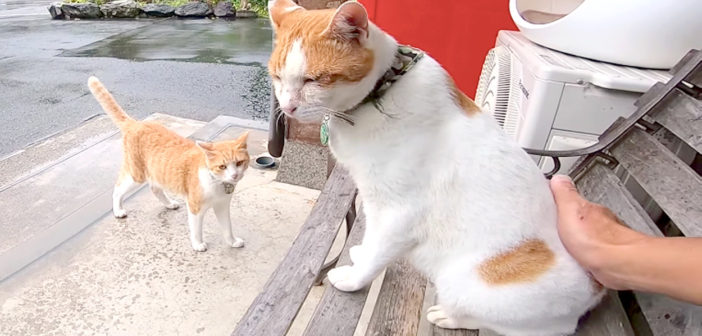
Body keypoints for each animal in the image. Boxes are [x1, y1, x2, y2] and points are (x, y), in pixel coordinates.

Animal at [89, 77, 250, 252]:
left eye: (239, 162)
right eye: (222, 166)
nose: (234, 175)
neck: (216, 182)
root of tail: (136, 123)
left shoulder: (222, 206)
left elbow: (227, 227)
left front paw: (232, 241)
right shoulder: (195, 207)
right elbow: (196, 229)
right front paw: (198, 244)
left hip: (157, 171)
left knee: (155, 188)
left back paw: (169, 204)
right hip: (136, 175)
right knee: (118, 188)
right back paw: (118, 210)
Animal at [268, 1, 604, 334]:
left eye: (314, 79)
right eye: (278, 78)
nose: (287, 107)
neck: (383, 89)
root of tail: (595, 289)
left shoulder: (400, 212)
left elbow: (379, 249)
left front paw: (353, 279)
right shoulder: (373, 201)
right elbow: (371, 238)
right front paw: (360, 252)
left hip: (466, 285)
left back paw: (446, 315)